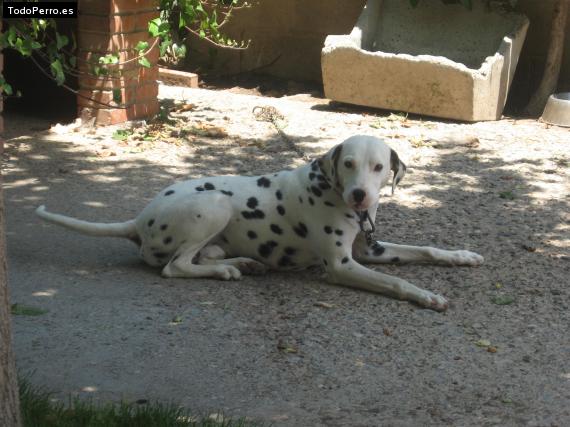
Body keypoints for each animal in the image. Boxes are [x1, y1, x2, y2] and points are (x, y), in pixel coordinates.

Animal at [35, 135, 482, 310]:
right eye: (349, 164)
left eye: (378, 167)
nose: (360, 195)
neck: (330, 189)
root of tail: (139, 218)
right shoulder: (343, 266)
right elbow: (397, 281)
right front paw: (426, 295)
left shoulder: (371, 250)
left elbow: (426, 250)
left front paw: (461, 255)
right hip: (214, 202)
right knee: (174, 267)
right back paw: (227, 271)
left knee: (198, 257)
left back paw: (242, 263)